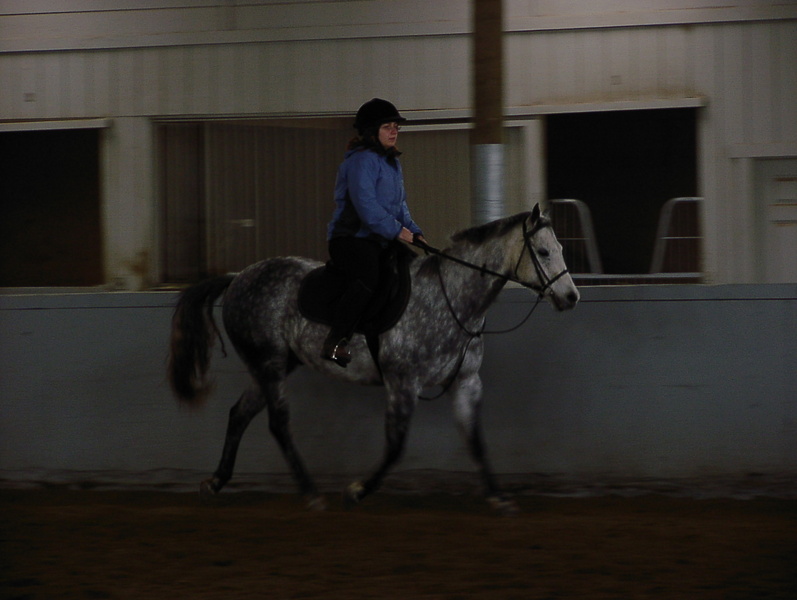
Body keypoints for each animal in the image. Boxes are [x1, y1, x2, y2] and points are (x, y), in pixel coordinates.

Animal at [168, 203, 579, 513]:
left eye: (561, 248)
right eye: (544, 252)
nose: (571, 297)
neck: (451, 299)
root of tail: (237, 277)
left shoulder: (466, 383)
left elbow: (475, 441)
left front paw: (499, 498)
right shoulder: (403, 383)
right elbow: (396, 447)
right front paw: (356, 491)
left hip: (272, 365)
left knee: (239, 415)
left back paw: (216, 482)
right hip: (269, 365)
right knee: (278, 423)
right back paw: (311, 493)